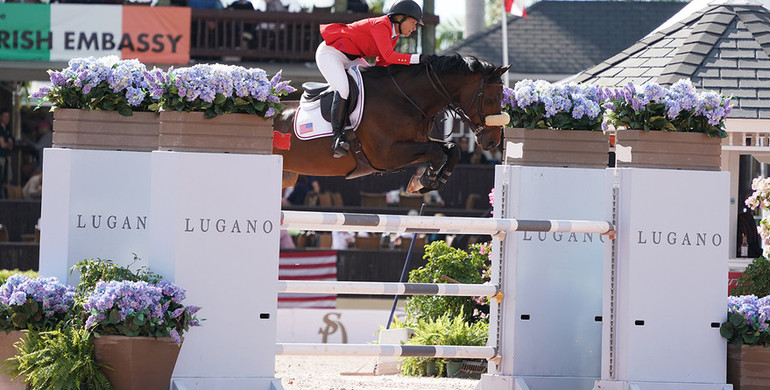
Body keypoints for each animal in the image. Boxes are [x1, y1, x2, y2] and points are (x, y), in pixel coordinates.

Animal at [272, 54, 510, 194]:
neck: (403, 98)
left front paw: (432, 180)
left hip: (287, 176)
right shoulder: (386, 155)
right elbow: (437, 152)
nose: (493, 141)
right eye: (492, 99)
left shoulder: (415, 142)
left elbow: (452, 149)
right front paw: (425, 180)